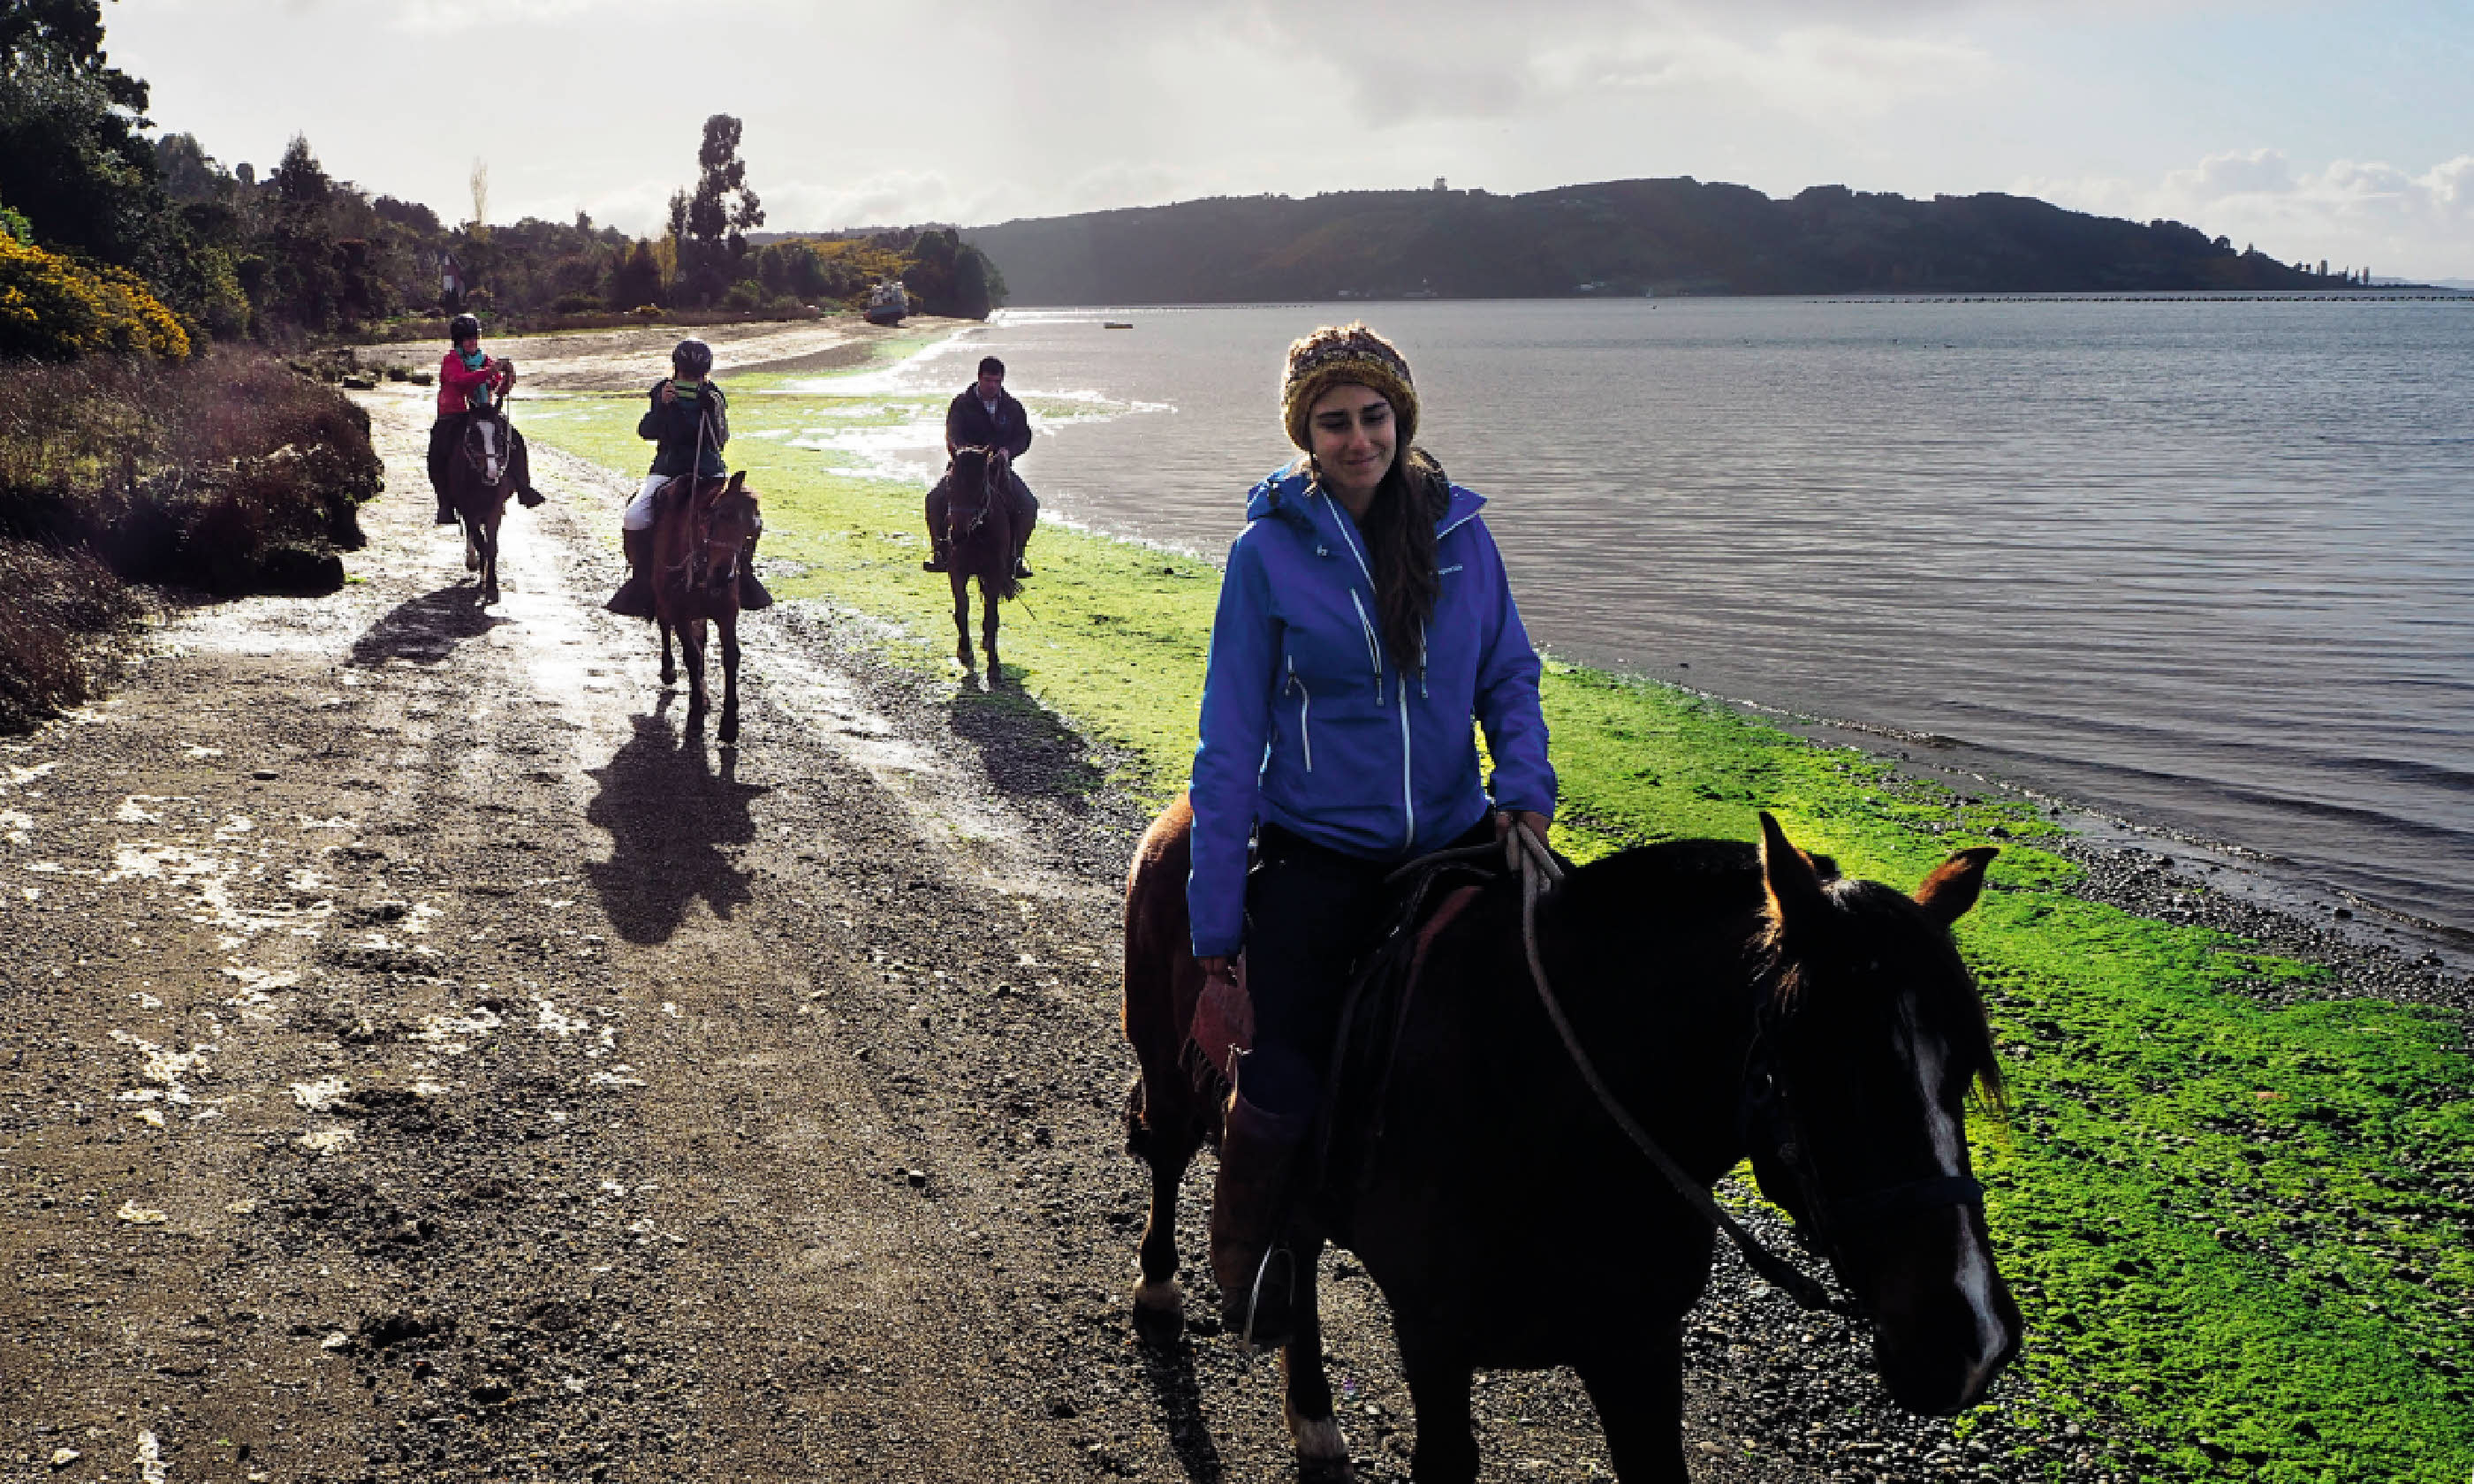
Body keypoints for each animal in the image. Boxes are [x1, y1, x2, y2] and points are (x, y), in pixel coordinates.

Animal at [447, 405, 520, 603]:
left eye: (499, 434)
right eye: (473, 434)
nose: (492, 473)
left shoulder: (494, 511)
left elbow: (492, 546)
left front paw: (493, 587)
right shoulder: (468, 511)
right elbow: (481, 543)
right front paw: (484, 578)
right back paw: (472, 562)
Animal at [643, 472, 756, 742]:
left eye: (752, 529)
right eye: (719, 515)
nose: (724, 576)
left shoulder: (726, 614)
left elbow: (730, 656)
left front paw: (729, 724)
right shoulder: (680, 613)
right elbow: (692, 656)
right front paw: (694, 714)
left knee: (700, 640)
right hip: (664, 602)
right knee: (666, 626)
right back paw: (669, 671)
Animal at [930, 440, 1024, 672]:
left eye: (981, 486)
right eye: (950, 482)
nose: (957, 534)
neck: (976, 534)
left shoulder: (993, 574)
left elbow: (992, 616)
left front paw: (994, 665)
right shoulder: (957, 572)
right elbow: (961, 608)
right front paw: (964, 650)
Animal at [1123, 806, 2008, 1484]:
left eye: (1965, 1071)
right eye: (1833, 1067)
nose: (1970, 1339)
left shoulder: (1638, 1349)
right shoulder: (1434, 1338)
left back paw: (1313, 1419)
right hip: (1167, 1067)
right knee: (1170, 1159)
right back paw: (1161, 1294)